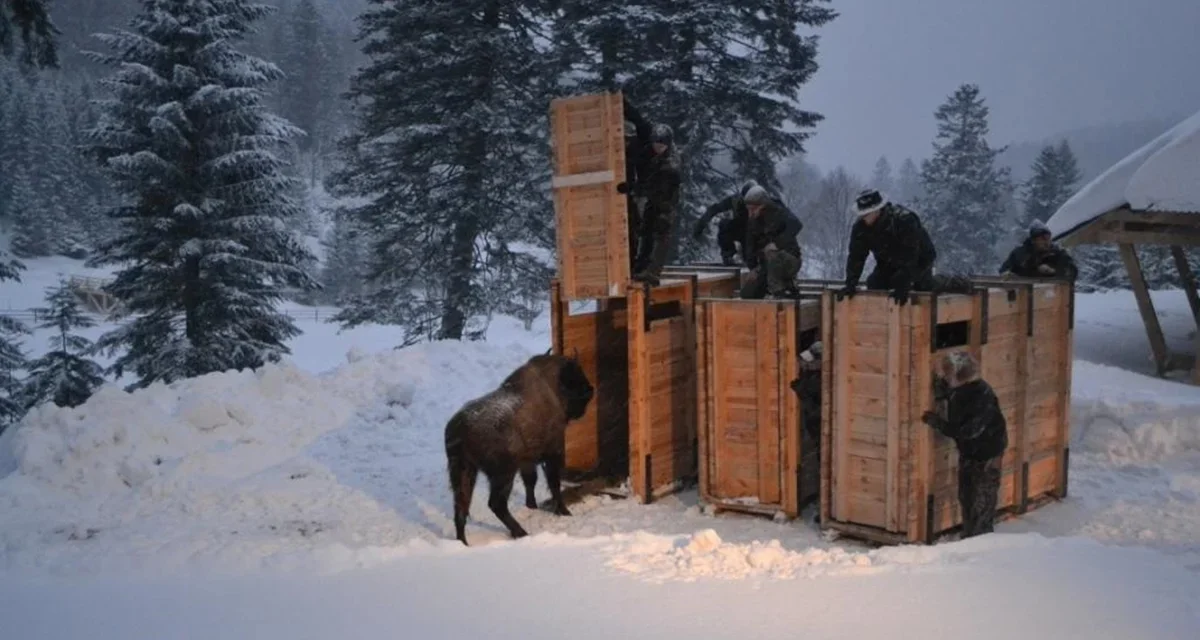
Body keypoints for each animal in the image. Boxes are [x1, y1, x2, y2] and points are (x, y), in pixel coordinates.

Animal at [444, 355, 592, 545]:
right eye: (576, 377)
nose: (590, 389)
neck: (552, 386)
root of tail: (460, 427)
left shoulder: (527, 462)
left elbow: (531, 481)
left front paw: (532, 506)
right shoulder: (553, 453)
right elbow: (554, 483)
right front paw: (564, 511)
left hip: (465, 471)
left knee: (461, 507)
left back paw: (463, 542)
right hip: (503, 474)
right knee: (496, 504)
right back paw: (521, 532)